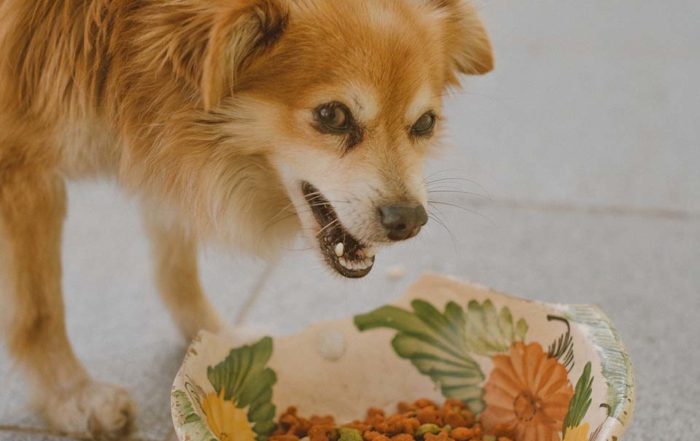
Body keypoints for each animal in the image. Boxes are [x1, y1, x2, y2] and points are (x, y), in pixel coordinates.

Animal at [0, 0, 492, 436]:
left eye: (424, 124)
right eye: (333, 115)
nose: (409, 219)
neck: (121, 37)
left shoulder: (163, 149)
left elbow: (176, 262)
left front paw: (214, 339)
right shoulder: (21, 169)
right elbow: (40, 308)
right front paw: (73, 396)